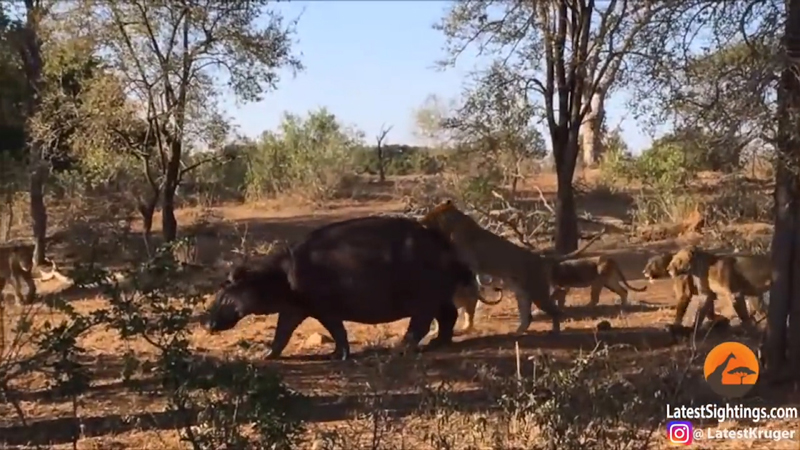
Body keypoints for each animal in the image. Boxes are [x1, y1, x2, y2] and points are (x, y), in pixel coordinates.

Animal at [420, 200, 603, 335]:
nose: (420, 221)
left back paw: (555, 331)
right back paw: (517, 332)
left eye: (430, 215)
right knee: (528, 316)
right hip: (523, 294)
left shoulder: (466, 256)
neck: (455, 223)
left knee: (554, 310)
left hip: (537, 291)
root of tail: (540, 257)